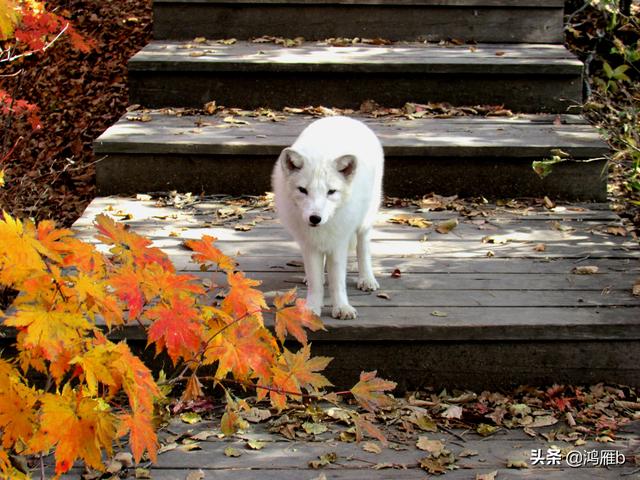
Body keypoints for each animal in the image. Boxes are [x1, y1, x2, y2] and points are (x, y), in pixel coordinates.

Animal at [272, 116, 382, 318]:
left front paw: (342, 308)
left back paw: (367, 279)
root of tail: (344, 117)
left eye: (331, 192)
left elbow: (338, 281)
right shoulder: (309, 244)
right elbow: (316, 281)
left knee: (363, 247)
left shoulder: (339, 243)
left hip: (365, 220)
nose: (315, 218)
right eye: (303, 190)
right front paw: (311, 309)